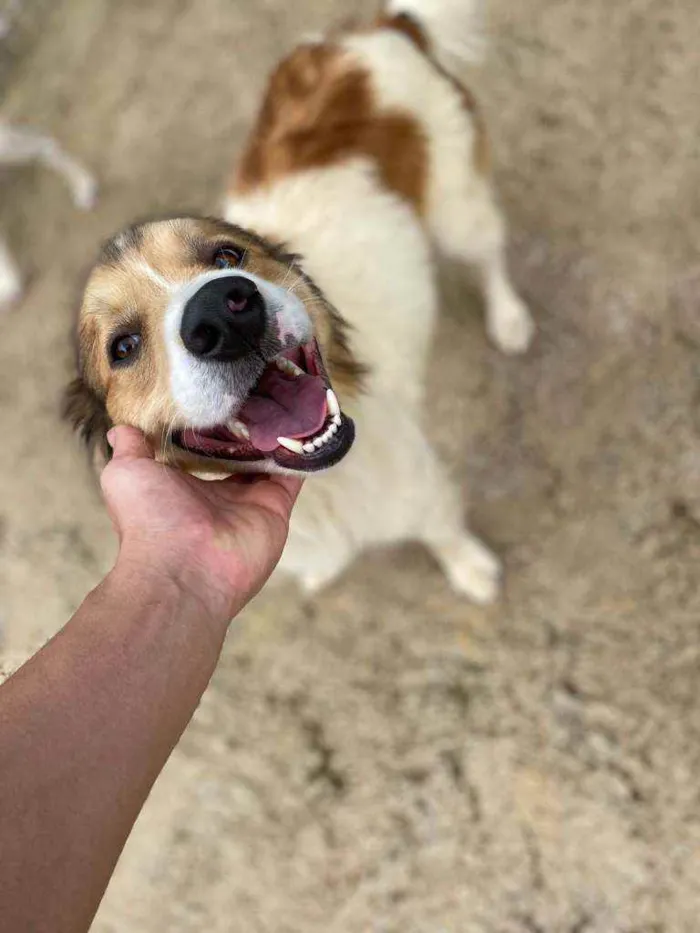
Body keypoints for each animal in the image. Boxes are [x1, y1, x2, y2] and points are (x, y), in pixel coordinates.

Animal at [67, 1, 536, 604]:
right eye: (123, 347)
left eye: (227, 255)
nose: (222, 312)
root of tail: (377, 30)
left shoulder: (416, 486)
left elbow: (442, 530)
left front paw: (470, 569)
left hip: (458, 207)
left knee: (489, 254)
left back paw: (509, 317)